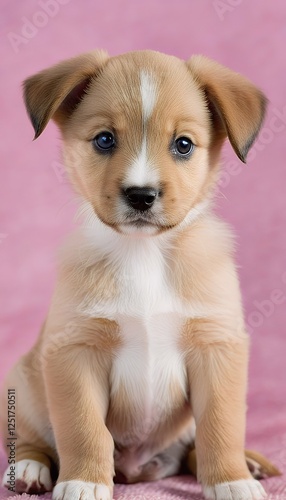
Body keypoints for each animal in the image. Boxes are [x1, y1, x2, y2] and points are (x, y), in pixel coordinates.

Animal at [0, 47, 280, 500]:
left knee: (193, 449)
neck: (144, 253)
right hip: (23, 386)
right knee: (31, 440)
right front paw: (83, 482)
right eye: (104, 139)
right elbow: (84, 429)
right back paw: (29, 469)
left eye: (183, 144)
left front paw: (231, 479)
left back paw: (249, 464)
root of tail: (137, 471)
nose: (141, 196)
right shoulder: (75, 352)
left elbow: (221, 426)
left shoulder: (217, 347)